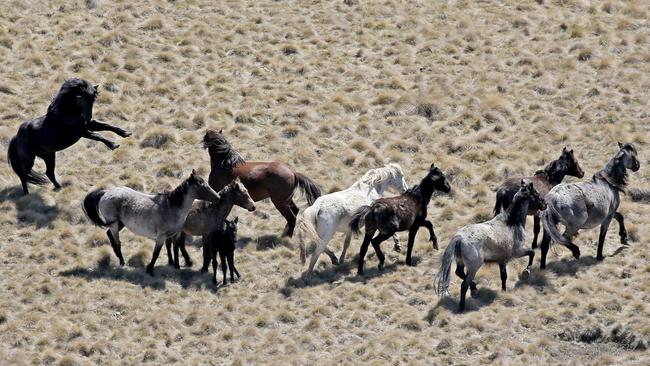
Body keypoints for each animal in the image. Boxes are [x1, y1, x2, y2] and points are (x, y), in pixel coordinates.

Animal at [82, 170, 220, 276]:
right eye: (202, 185)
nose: (218, 197)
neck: (171, 207)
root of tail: (105, 192)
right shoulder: (161, 237)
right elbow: (156, 253)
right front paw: (150, 270)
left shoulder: (175, 234)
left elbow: (175, 248)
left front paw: (176, 266)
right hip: (115, 224)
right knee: (117, 242)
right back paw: (122, 262)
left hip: (120, 224)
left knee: (109, 234)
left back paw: (117, 255)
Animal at [432, 181, 544, 312]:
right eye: (536, 193)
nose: (544, 204)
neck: (511, 222)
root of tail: (459, 238)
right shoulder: (517, 252)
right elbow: (532, 252)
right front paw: (526, 271)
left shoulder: (502, 260)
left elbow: (504, 276)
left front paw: (504, 291)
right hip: (474, 266)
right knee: (464, 284)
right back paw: (462, 306)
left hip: (462, 262)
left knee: (459, 273)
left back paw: (474, 289)